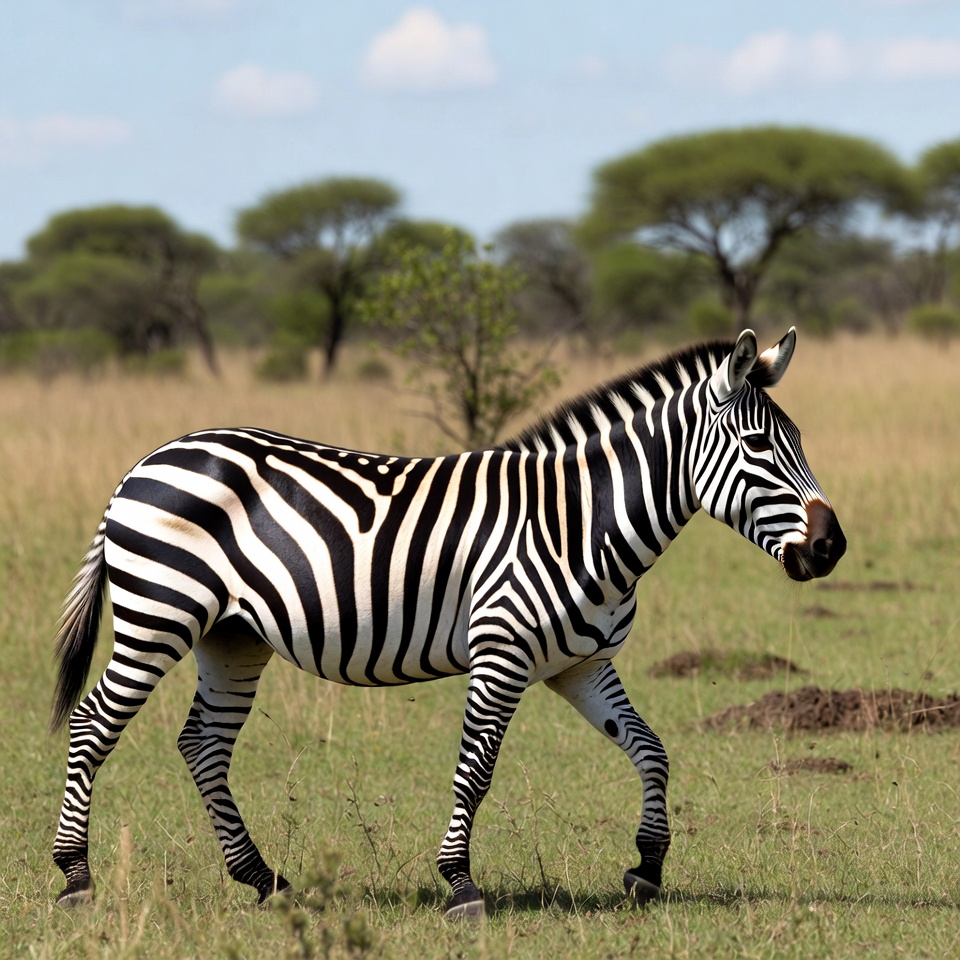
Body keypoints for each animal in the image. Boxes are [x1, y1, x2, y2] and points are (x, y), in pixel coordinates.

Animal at [49, 327, 845, 917]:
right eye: (759, 447)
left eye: (801, 441)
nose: (832, 546)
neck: (581, 523)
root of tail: (147, 461)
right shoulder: (502, 652)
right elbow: (475, 771)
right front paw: (460, 885)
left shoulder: (581, 663)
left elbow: (652, 750)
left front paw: (647, 866)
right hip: (159, 614)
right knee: (92, 725)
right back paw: (75, 877)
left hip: (231, 636)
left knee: (203, 745)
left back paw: (263, 879)